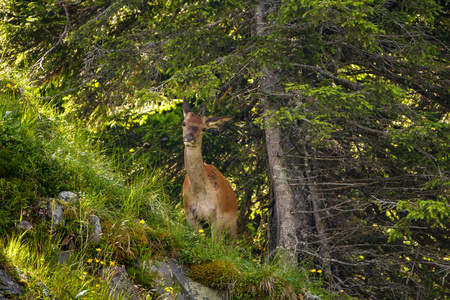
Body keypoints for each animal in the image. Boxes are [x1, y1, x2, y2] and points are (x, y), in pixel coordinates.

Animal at [182, 98, 239, 241]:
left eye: (203, 128)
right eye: (184, 123)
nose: (189, 138)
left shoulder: (218, 214)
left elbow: (214, 243)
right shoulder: (189, 211)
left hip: (232, 222)